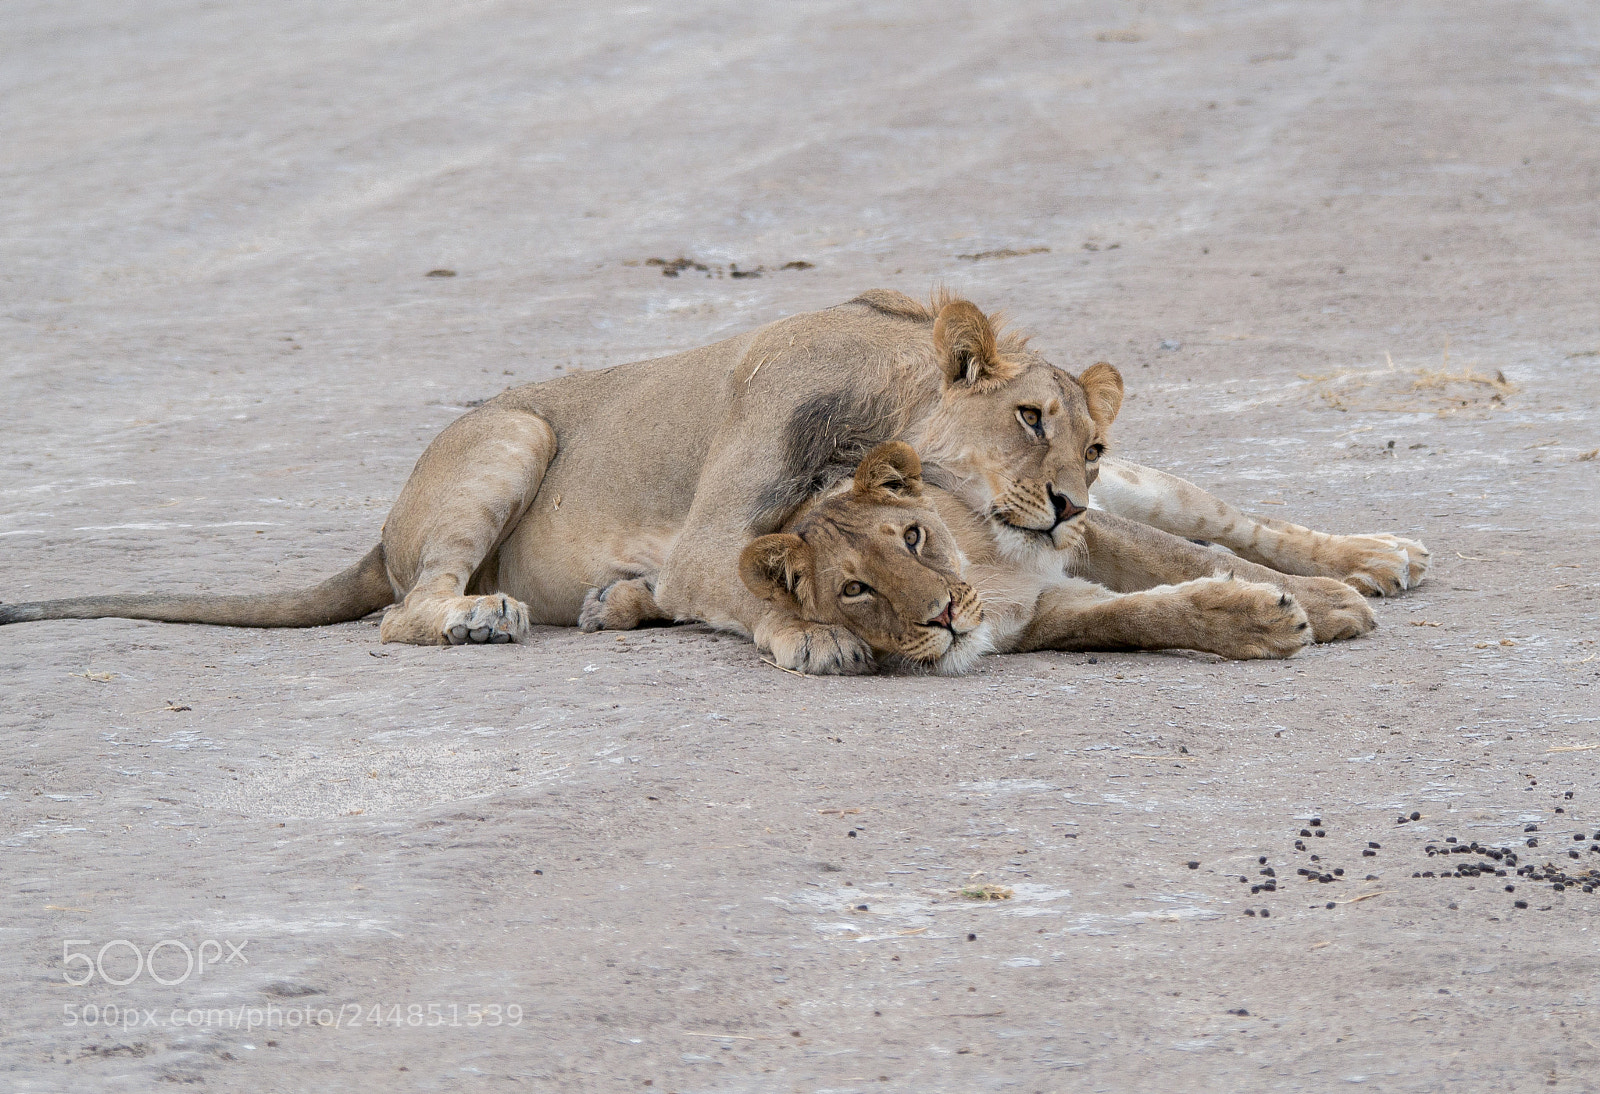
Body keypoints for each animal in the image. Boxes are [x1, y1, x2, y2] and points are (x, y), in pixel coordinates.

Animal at [0, 291, 1426, 674]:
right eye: (1026, 417)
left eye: (1085, 442)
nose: (1072, 496)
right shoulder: (712, 539)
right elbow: (745, 585)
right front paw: (811, 636)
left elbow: (1192, 552)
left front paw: (1321, 590)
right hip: (510, 438)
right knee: (405, 611)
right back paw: (487, 613)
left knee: (1217, 512)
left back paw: (1375, 553)